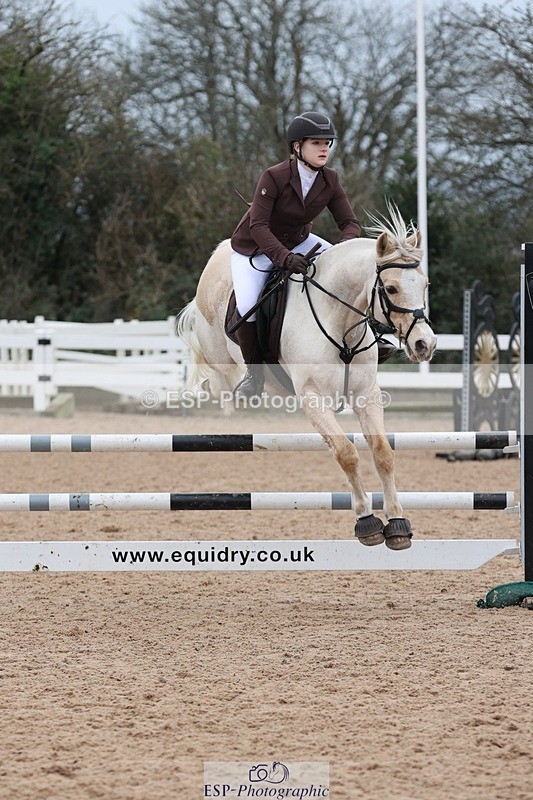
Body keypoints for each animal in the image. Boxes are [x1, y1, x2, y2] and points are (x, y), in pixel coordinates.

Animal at [176, 206, 437, 550]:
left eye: (425, 285)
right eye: (391, 288)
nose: (425, 345)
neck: (340, 323)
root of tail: (218, 255)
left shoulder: (366, 394)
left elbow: (383, 453)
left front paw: (397, 523)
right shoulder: (314, 400)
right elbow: (347, 454)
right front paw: (366, 522)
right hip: (218, 350)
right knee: (218, 379)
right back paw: (231, 391)